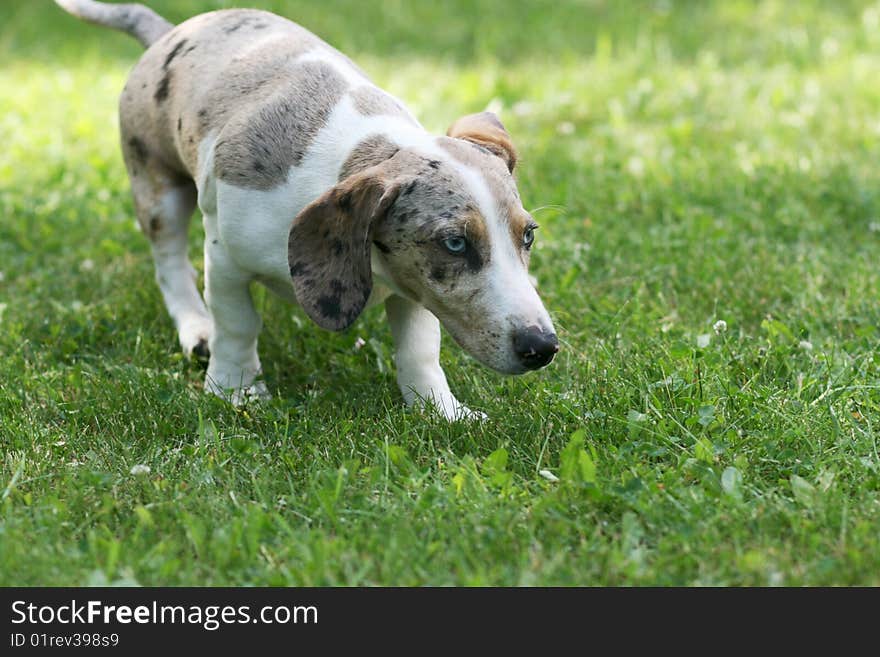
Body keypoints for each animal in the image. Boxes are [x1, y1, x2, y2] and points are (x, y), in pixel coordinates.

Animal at [53, 1, 556, 420]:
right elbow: (238, 325)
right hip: (158, 190)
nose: (543, 347)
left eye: (528, 235)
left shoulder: (414, 287)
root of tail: (170, 32)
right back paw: (196, 328)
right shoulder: (226, 258)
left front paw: (440, 411)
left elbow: (419, 350)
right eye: (454, 243)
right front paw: (235, 389)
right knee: (170, 264)